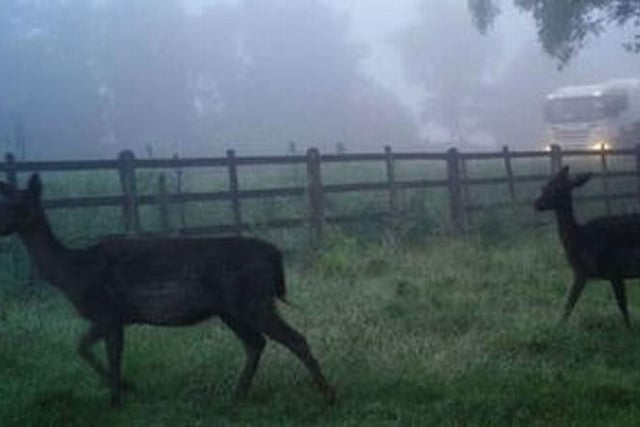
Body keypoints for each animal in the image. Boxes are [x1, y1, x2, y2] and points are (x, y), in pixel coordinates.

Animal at [0, 173, 335, 407]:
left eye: (21, 204)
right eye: (5, 202)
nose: (1, 225)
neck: (71, 272)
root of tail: (276, 256)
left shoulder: (109, 310)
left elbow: (98, 352)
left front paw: (119, 396)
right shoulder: (115, 317)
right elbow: (91, 349)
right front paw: (123, 391)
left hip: (253, 300)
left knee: (294, 339)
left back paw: (328, 396)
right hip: (231, 309)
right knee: (256, 343)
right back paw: (236, 395)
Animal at [534, 165, 640, 329]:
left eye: (556, 188)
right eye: (544, 186)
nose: (537, 203)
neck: (579, 238)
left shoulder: (610, 269)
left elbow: (621, 304)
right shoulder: (586, 273)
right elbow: (570, 302)